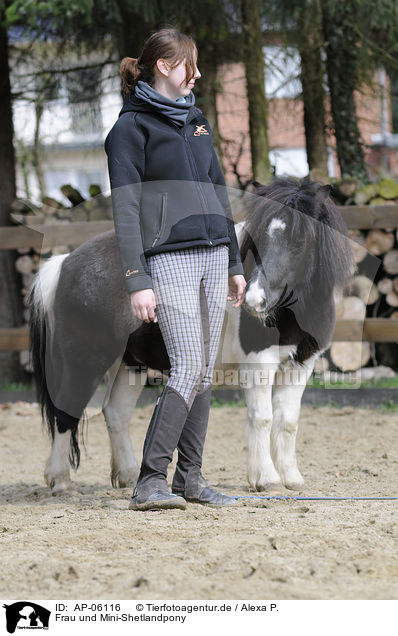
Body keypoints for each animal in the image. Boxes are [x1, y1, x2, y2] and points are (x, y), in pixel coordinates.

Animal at [28, 178, 352, 492]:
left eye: (301, 239)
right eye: (257, 236)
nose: (254, 300)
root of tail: (66, 262)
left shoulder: (302, 363)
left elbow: (288, 421)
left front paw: (291, 477)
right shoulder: (259, 362)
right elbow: (262, 417)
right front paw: (266, 478)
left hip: (131, 363)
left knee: (116, 413)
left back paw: (129, 475)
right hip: (85, 361)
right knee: (66, 412)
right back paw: (60, 480)